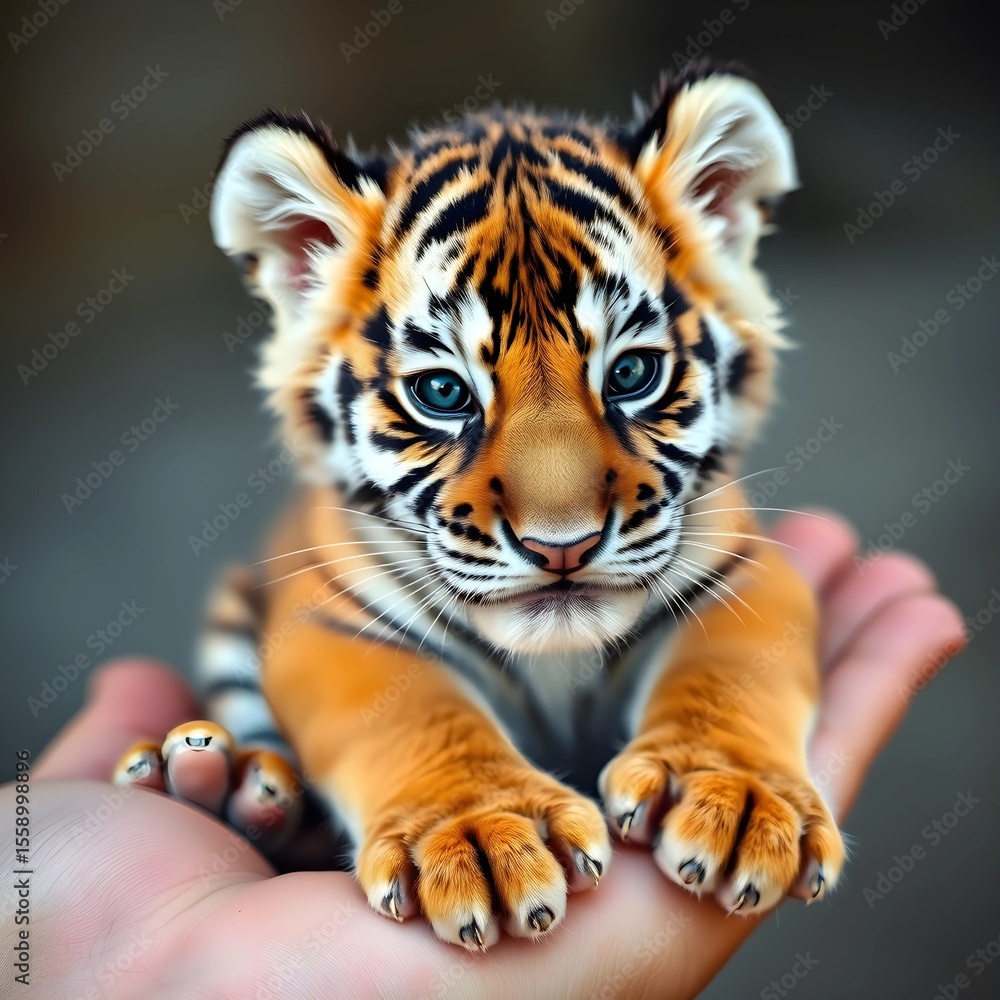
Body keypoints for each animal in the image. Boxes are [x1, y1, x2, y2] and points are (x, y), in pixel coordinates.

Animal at [114, 61, 844, 951]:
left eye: (631, 375)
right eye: (442, 393)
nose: (563, 546)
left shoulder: (746, 573)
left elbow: (727, 672)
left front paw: (732, 798)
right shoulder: (331, 623)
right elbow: (418, 714)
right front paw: (482, 835)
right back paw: (213, 778)